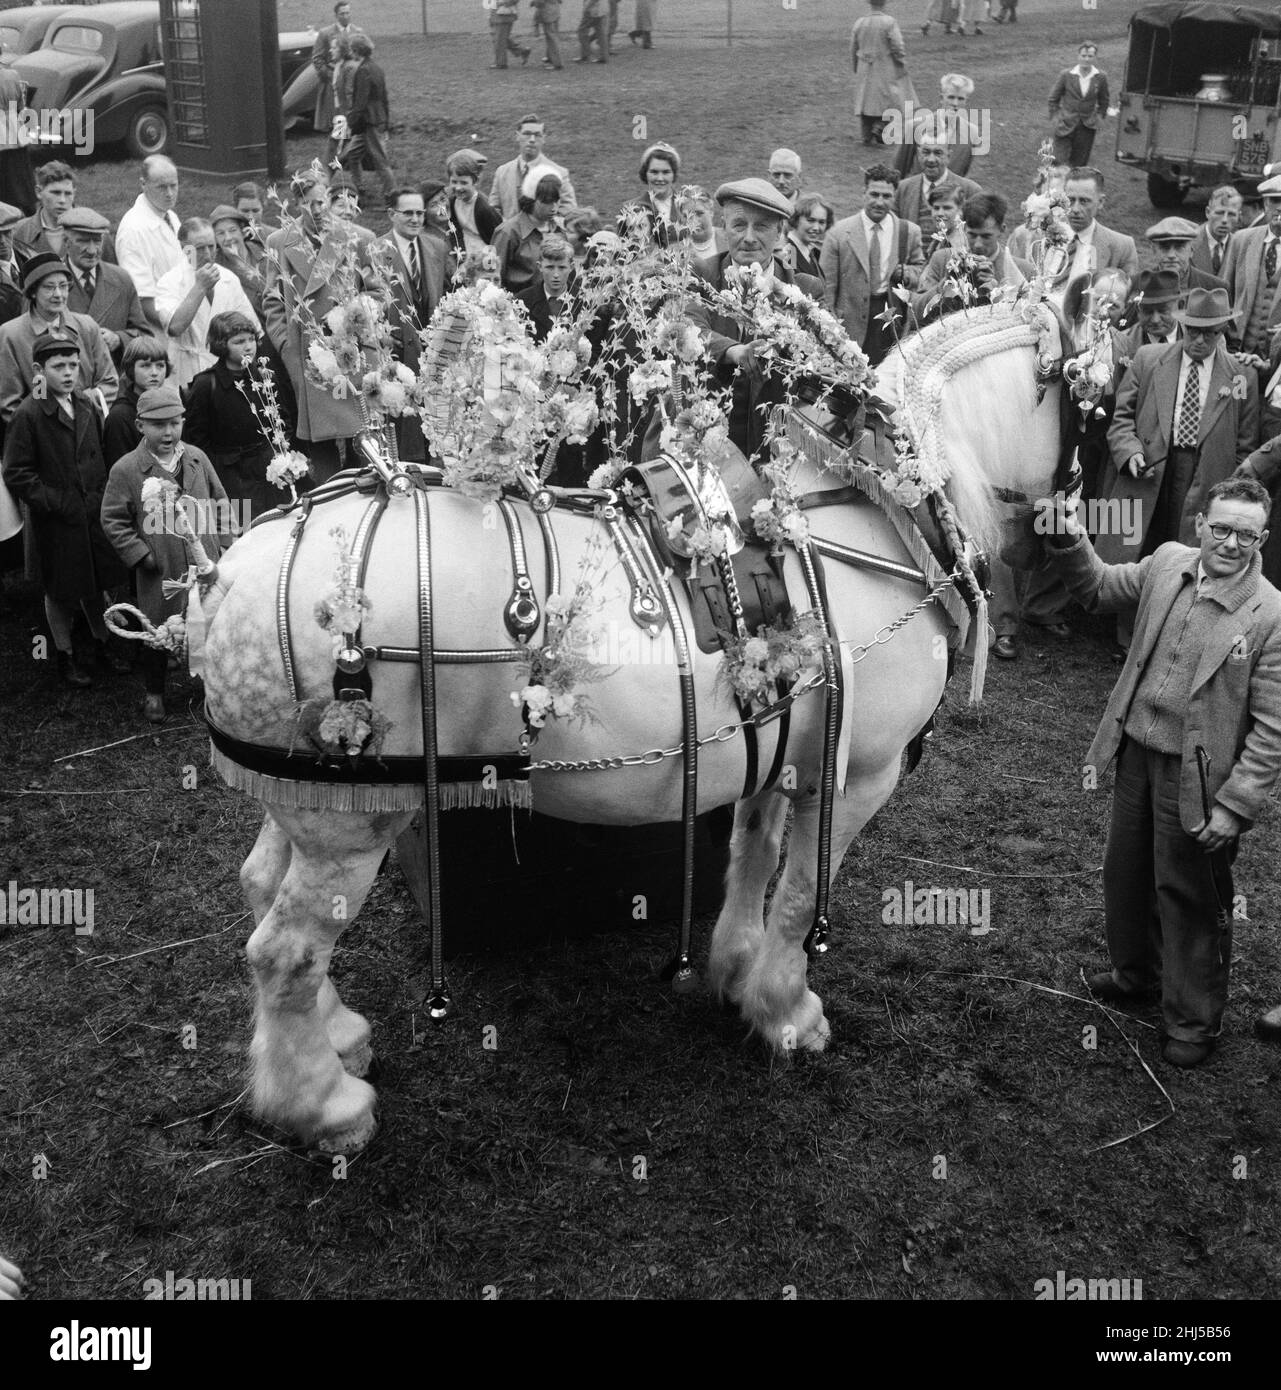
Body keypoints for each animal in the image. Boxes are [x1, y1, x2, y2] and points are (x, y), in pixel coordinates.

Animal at [137, 216, 1078, 1150]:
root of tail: (226, 573)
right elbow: (800, 895)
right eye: (1077, 390)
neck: (880, 513)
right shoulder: (858, 774)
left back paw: (336, 1038)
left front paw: (734, 972)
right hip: (354, 822)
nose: (1073, 522)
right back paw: (323, 1105)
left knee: (262, 890)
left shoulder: (777, 749)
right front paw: (786, 1011)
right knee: (284, 950)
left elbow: (752, 855)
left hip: (309, 800)